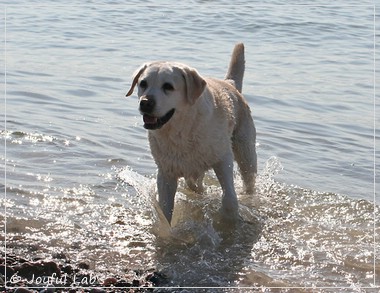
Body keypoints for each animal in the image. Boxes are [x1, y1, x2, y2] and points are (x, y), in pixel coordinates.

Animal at [126, 43, 256, 224]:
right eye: (143, 83)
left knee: (249, 180)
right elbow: (164, 211)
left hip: (246, 153)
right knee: (195, 185)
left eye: (168, 86)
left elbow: (230, 199)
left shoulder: (223, 159)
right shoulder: (166, 173)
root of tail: (229, 83)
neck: (182, 130)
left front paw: (228, 219)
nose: (145, 103)